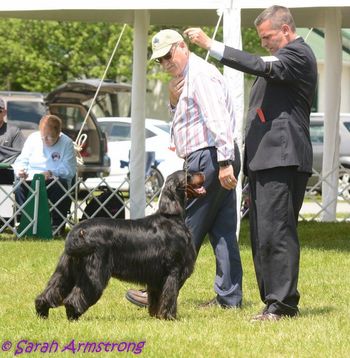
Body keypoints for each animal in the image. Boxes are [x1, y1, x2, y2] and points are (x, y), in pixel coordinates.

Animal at [34, 169, 205, 320]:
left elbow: (157, 299)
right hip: (94, 272)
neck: (172, 217)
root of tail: (78, 231)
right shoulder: (173, 271)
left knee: (49, 293)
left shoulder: (156, 277)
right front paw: (169, 317)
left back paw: (43, 315)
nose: (203, 173)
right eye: (188, 175)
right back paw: (73, 316)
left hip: (66, 270)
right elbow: (170, 296)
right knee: (73, 299)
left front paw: (157, 316)